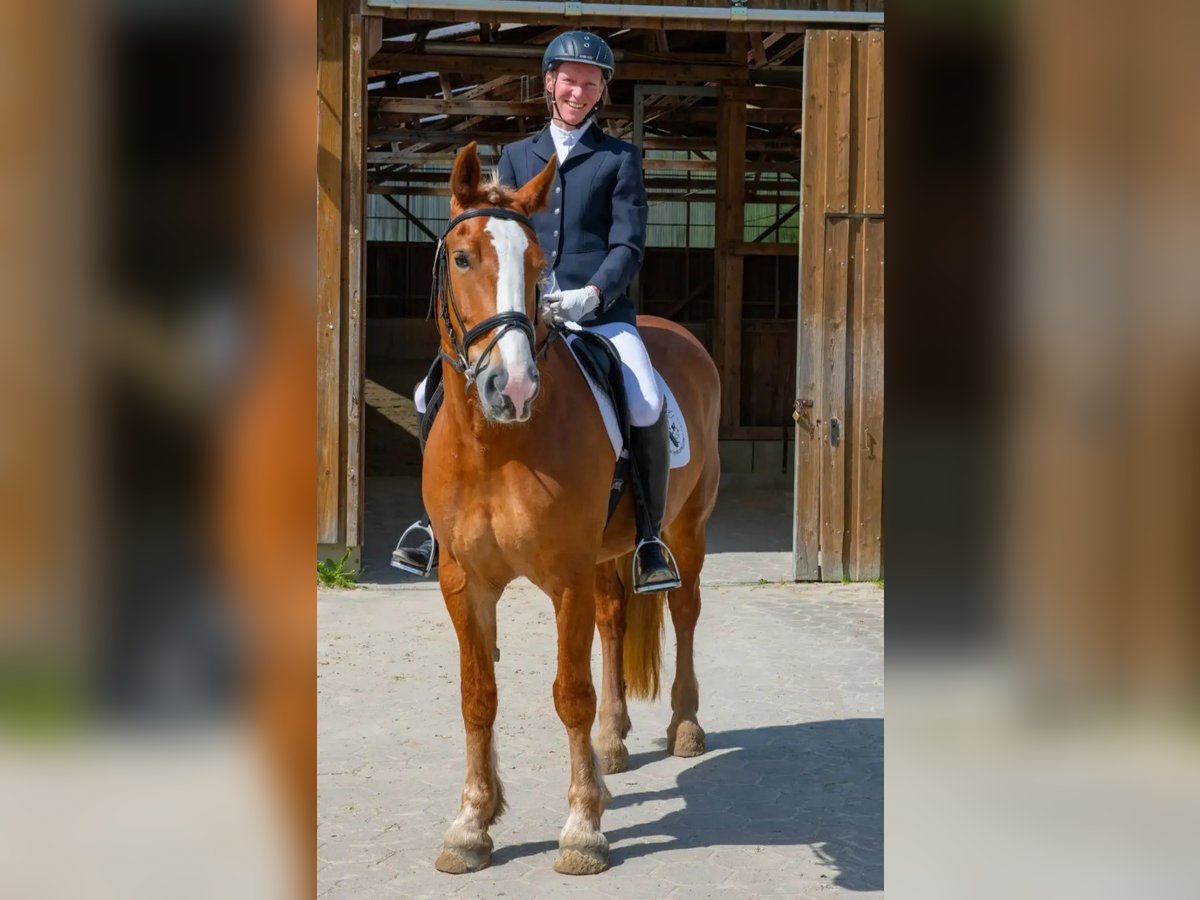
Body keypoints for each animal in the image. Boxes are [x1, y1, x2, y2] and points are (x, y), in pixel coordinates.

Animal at [427, 144, 715, 878]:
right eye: (463, 258)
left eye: (537, 265)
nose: (511, 387)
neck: (497, 445)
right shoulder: (463, 580)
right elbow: (477, 695)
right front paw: (471, 824)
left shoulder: (565, 579)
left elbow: (570, 695)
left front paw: (583, 828)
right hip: (610, 555)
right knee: (615, 623)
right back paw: (613, 743)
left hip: (686, 530)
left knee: (684, 611)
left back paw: (684, 726)